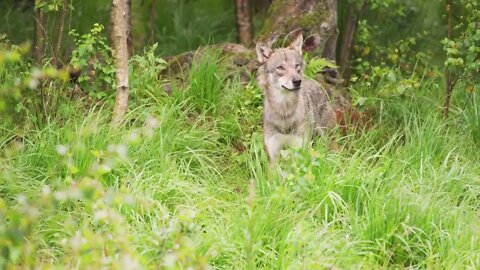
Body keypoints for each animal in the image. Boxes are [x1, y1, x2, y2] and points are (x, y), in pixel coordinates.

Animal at [255, 33, 334, 162]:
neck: (284, 112)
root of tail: (316, 83)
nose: (297, 81)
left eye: (296, 65)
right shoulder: (273, 156)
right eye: (280, 67)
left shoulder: (300, 152)